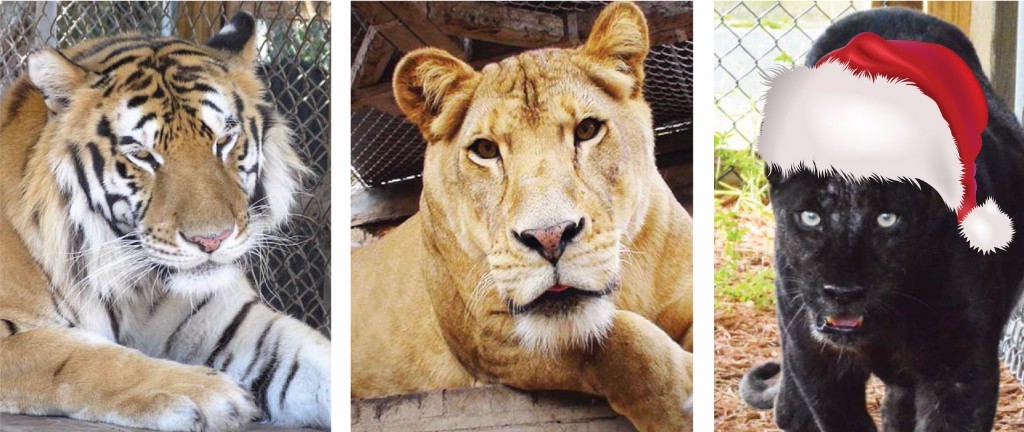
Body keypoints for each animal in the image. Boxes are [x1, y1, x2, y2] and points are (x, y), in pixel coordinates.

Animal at [0, 12, 330, 431]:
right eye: (142, 154)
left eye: (225, 139)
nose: (212, 240)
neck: (139, 288)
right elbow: (84, 357)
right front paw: (206, 393)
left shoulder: (231, 323)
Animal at [351, 2, 694, 430]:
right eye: (485, 149)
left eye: (587, 129)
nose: (549, 237)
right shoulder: (488, 333)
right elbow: (618, 341)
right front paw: (682, 400)